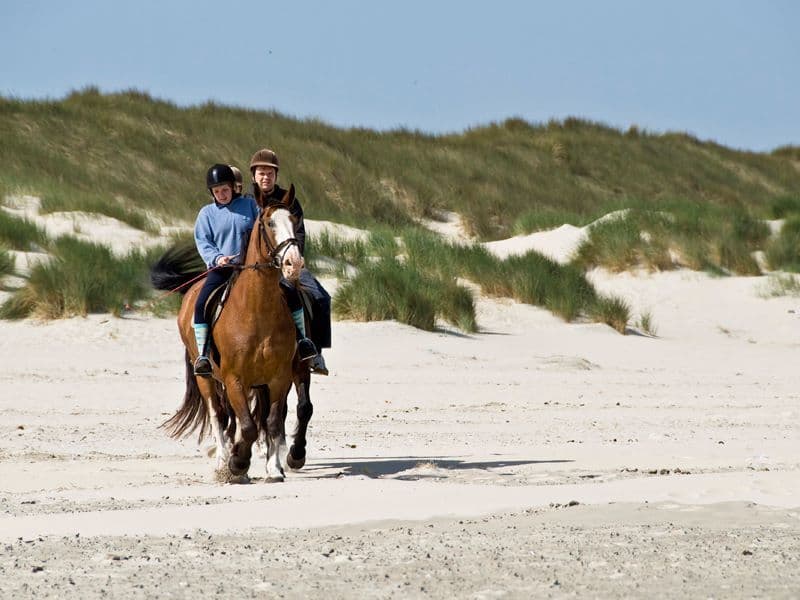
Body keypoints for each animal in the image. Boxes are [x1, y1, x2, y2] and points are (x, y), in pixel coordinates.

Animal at [150, 185, 313, 483]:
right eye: (269, 223)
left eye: (294, 221)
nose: (293, 264)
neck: (256, 309)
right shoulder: (234, 378)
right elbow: (247, 426)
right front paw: (237, 463)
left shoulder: (279, 377)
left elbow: (272, 421)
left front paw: (274, 468)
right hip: (206, 378)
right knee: (218, 415)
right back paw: (224, 461)